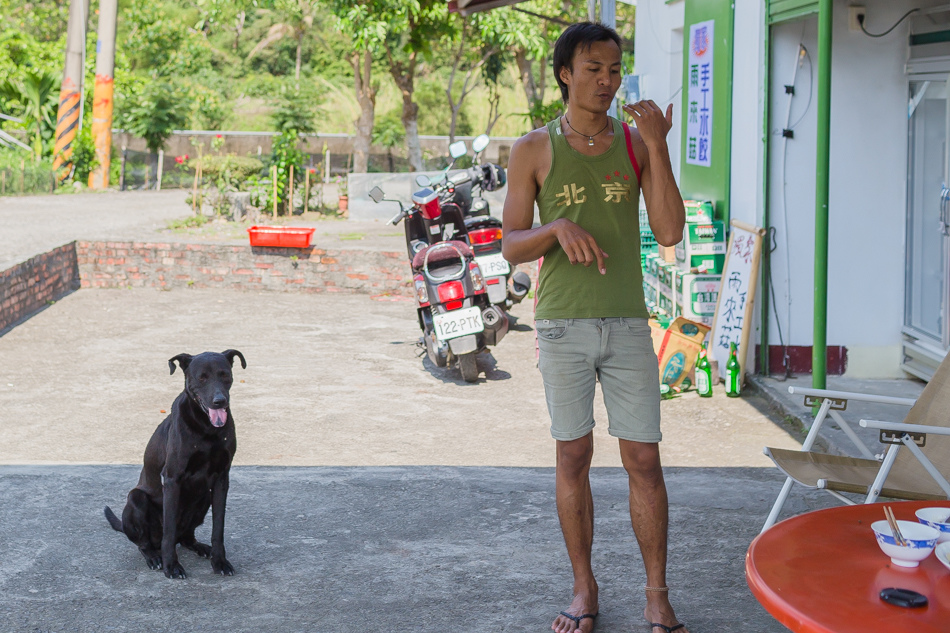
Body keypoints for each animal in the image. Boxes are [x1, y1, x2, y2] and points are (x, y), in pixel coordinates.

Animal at [105, 350, 245, 576]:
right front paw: (171, 565)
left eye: (225, 375)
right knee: (145, 543)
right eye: (201, 378)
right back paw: (154, 557)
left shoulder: (222, 479)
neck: (206, 428)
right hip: (136, 499)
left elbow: (218, 528)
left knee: (186, 537)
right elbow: (168, 532)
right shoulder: (172, 478)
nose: (219, 401)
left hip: (204, 497)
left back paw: (200, 547)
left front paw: (220, 561)